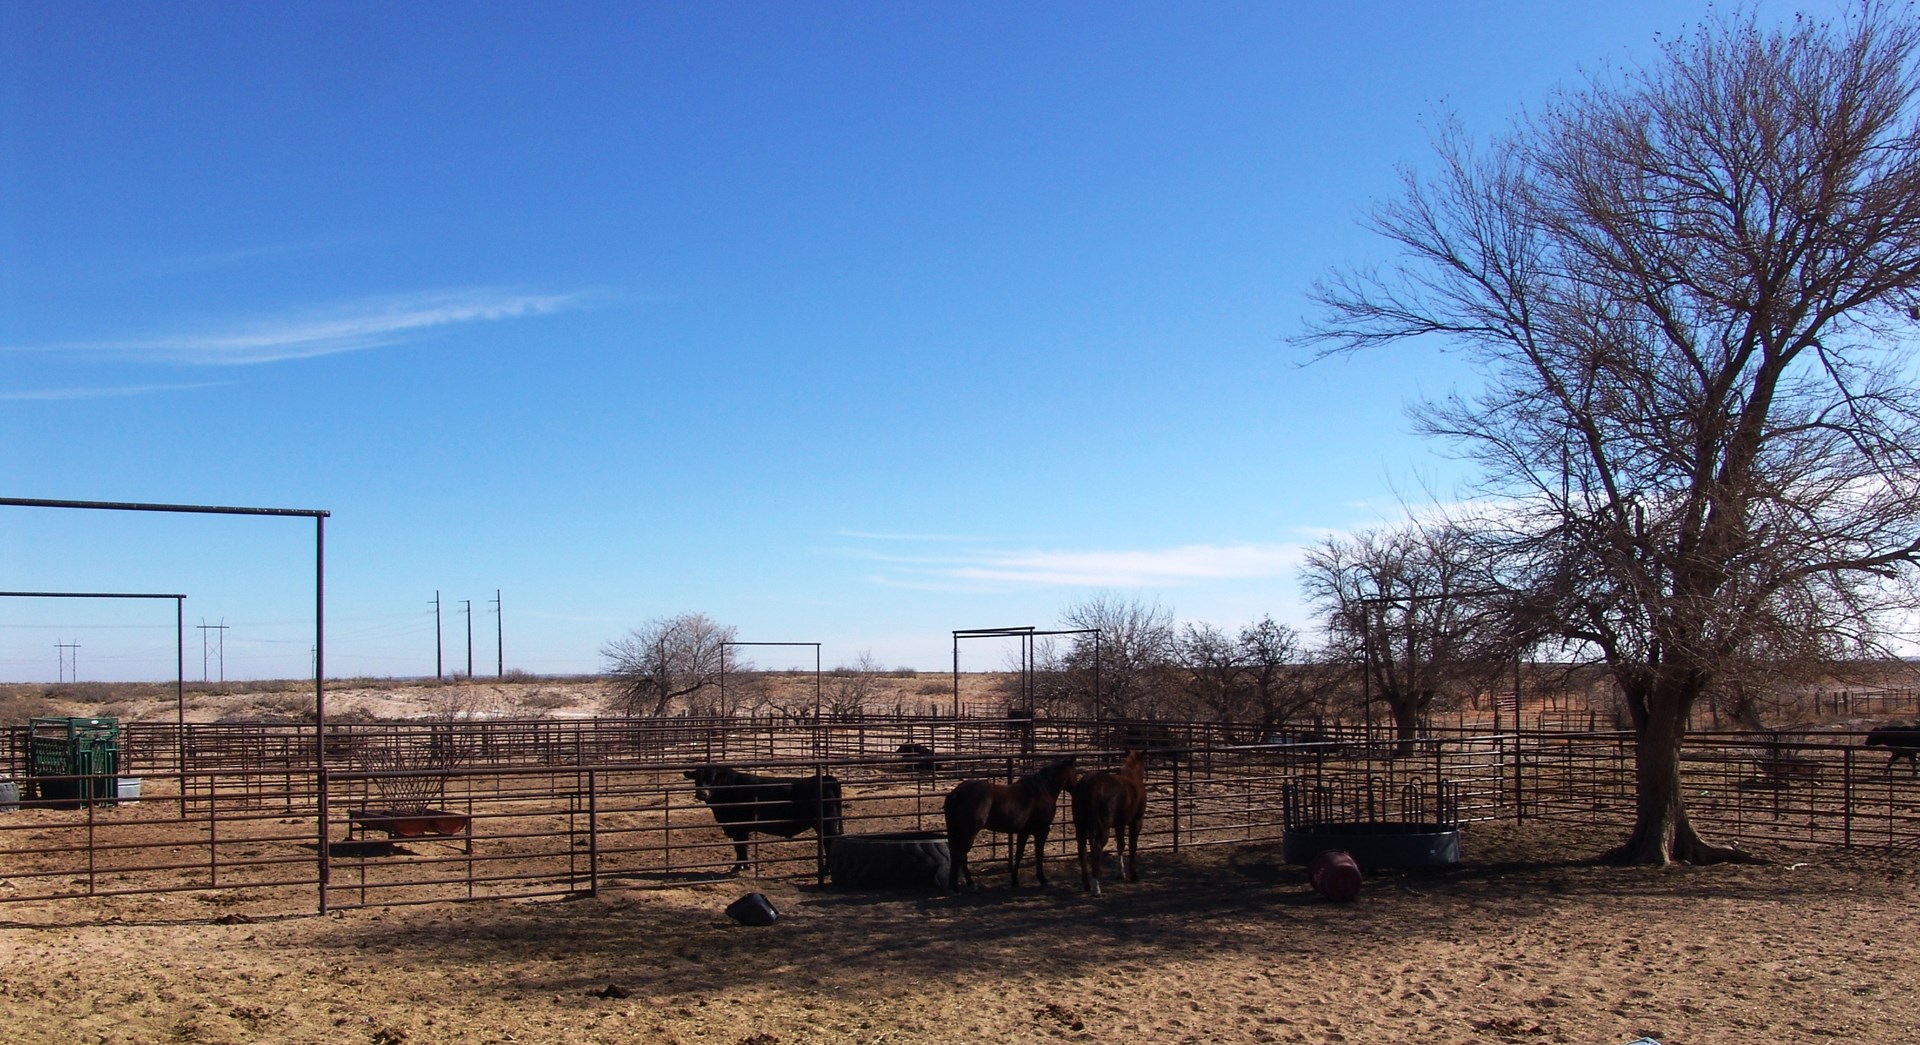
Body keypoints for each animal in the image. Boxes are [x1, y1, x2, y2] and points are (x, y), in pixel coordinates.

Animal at [683, 765, 844, 872]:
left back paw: (827, 869)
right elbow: (741, 846)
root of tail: (827, 779)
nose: (702, 794)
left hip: (828, 824)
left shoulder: (739, 828)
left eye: (712, 779)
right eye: (696, 779)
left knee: (830, 843)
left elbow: (740, 846)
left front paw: (739, 867)